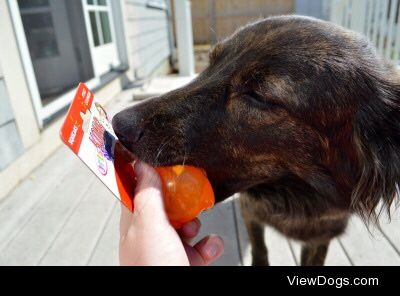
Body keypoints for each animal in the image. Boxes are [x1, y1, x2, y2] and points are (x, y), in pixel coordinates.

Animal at [111, 16, 400, 266]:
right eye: (212, 63)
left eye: (259, 96)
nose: (119, 125)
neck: (296, 199)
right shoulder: (251, 211)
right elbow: (260, 248)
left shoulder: (322, 236)